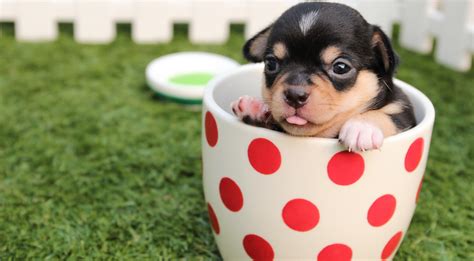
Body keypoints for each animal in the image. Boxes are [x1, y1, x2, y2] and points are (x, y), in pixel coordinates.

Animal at [231, 1, 416, 150]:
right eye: (270, 63)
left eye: (341, 67)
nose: (294, 95)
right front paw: (254, 107)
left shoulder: (404, 112)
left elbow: (389, 115)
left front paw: (362, 127)